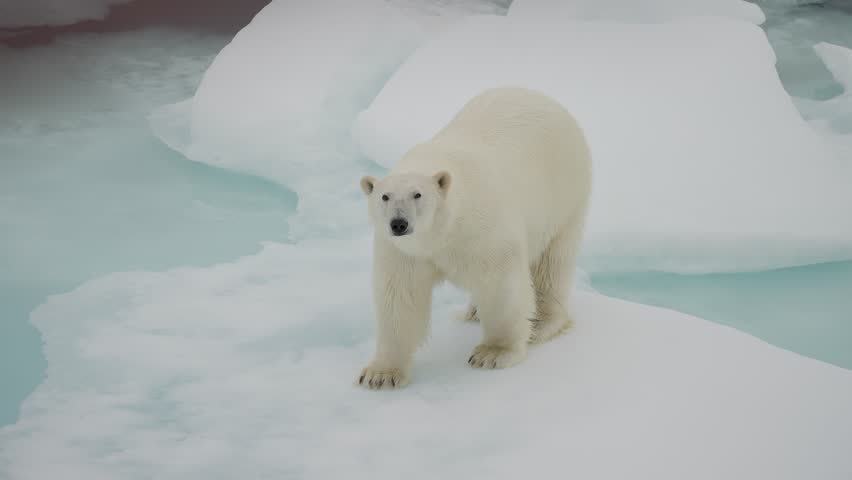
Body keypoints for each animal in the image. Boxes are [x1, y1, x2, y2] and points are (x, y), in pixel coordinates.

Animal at [357, 86, 592, 389]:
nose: (399, 223)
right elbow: (400, 297)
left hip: (564, 193)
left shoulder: (482, 228)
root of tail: (543, 97)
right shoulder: (404, 251)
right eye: (385, 196)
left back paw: (541, 322)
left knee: (552, 262)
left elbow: (500, 283)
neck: (442, 233)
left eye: (417, 194)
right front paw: (380, 374)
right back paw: (474, 311)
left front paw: (493, 353)